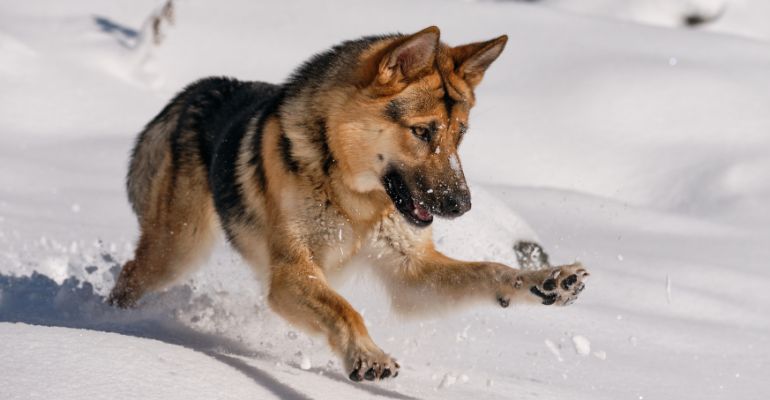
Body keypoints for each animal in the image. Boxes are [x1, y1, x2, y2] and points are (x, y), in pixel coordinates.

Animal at [108, 26, 588, 382]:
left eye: (461, 134)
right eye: (422, 132)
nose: (462, 205)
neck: (353, 195)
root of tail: (195, 90)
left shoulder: (411, 273)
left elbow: (492, 271)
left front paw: (549, 280)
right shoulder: (291, 273)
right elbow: (345, 309)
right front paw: (367, 355)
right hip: (178, 252)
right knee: (128, 276)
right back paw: (114, 325)